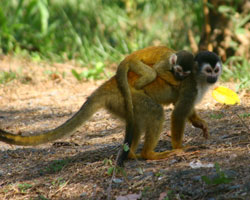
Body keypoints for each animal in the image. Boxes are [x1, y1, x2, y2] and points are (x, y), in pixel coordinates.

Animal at [0, 50, 222, 167]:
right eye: (209, 71)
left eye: (216, 70)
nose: (214, 78)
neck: (198, 79)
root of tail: (110, 84)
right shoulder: (190, 86)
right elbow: (178, 113)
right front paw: (179, 148)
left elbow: (182, 108)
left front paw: (198, 122)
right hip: (129, 97)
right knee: (156, 112)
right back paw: (149, 155)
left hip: (121, 104)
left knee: (136, 124)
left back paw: (132, 155)